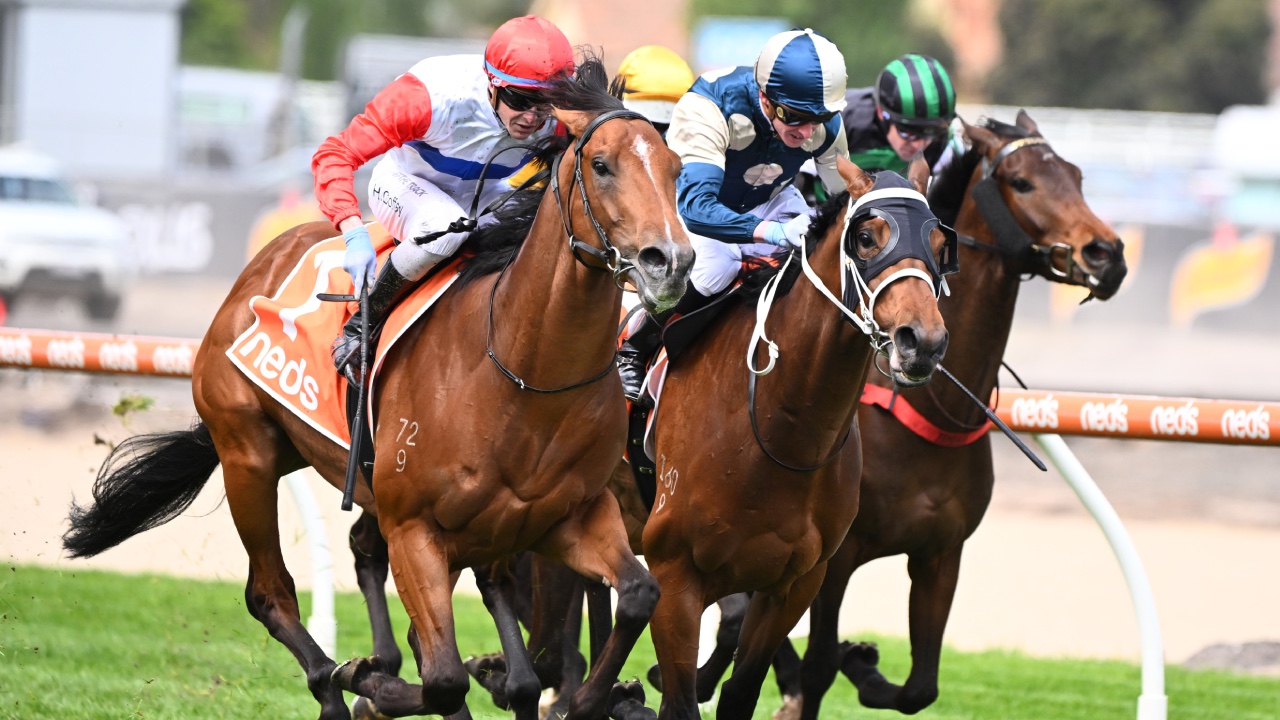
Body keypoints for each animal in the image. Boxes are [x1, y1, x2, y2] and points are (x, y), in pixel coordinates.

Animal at [61, 61, 695, 720]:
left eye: (676, 168)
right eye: (601, 164)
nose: (670, 261)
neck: (525, 376)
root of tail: (258, 267)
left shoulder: (568, 516)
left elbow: (638, 593)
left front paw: (593, 697)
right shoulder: (415, 527)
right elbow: (442, 677)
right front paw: (373, 681)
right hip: (247, 453)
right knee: (270, 593)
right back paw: (334, 684)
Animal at [637, 155, 950, 720]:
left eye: (940, 244)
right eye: (866, 237)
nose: (923, 342)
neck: (782, 433)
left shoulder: (795, 583)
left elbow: (740, 692)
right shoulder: (675, 574)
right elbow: (681, 701)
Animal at [763, 110, 1129, 718]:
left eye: (1076, 175)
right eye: (1023, 182)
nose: (1108, 254)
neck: (925, 411)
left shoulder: (940, 553)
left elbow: (920, 687)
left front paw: (864, 666)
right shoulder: (833, 559)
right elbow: (816, 667)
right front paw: (833, 669)